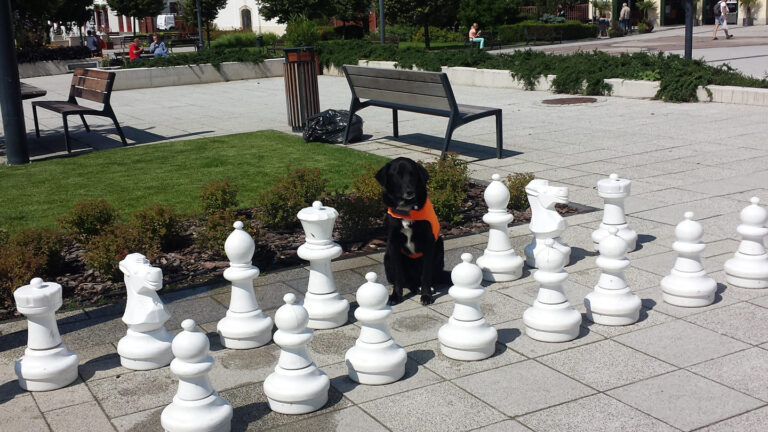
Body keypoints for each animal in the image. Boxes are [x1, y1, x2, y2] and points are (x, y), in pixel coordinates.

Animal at [375, 157, 450, 305]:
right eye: (397, 175)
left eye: (413, 174)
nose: (410, 191)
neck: (407, 210)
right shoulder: (393, 244)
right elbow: (399, 276)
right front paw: (396, 296)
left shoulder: (428, 243)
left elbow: (426, 275)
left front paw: (426, 295)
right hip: (387, 256)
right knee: (408, 281)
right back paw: (414, 287)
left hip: (439, 245)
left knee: (429, 277)